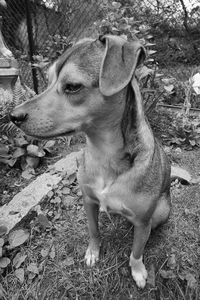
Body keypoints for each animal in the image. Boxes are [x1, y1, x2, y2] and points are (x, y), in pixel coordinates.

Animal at [10, 35, 171, 288]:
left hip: (161, 212)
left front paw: (137, 270)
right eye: (48, 81)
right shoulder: (88, 201)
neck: (104, 152)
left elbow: (137, 249)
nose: (12, 116)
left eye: (73, 86)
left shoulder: (143, 221)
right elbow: (93, 230)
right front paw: (93, 252)